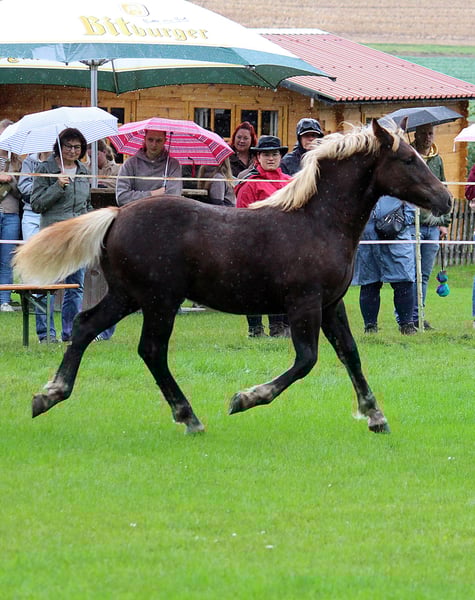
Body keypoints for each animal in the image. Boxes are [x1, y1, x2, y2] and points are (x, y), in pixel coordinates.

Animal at [14, 119, 452, 435]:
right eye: (408, 160)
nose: (445, 200)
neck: (318, 221)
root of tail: (116, 214)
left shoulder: (331, 303)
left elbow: (350, 353)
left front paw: (375, 416)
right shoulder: (303, 303)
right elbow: (306, 360)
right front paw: (245, 398)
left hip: (128, 296)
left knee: (86, 325)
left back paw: (48, 395)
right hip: (160, 301)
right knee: (151, 350)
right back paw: (189, 417)